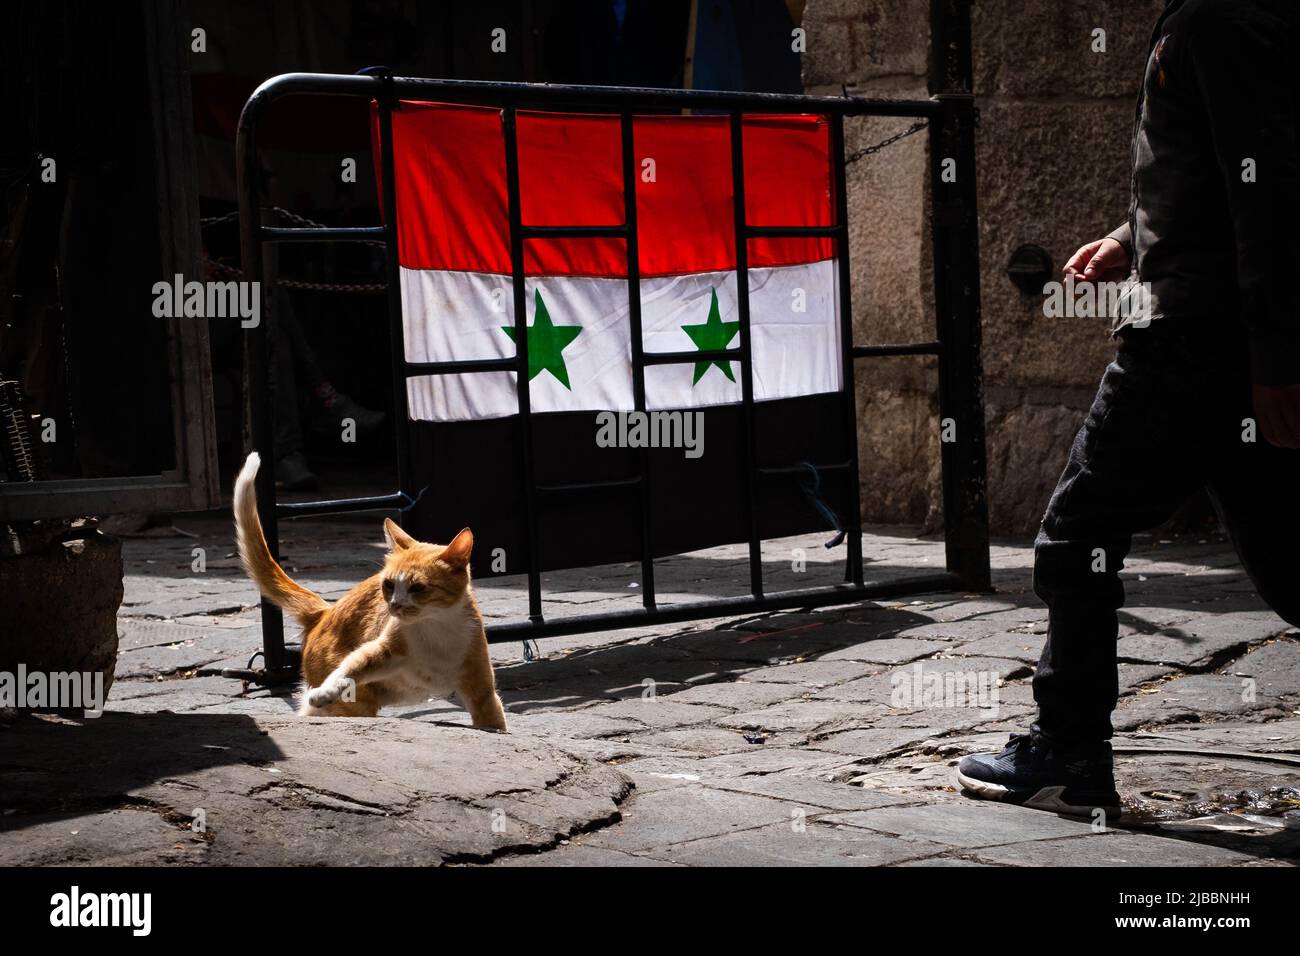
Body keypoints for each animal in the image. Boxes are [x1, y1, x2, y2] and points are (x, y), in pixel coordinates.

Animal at [231, 452, 504, 728]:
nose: (394, 605)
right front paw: (325, 691)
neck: (434, 626)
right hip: (356, 702)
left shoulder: (482, 691)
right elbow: (349, 669)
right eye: (389, 585)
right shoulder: (381, 650)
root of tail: (325, 612)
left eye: (418, 588)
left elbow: (493, 723)